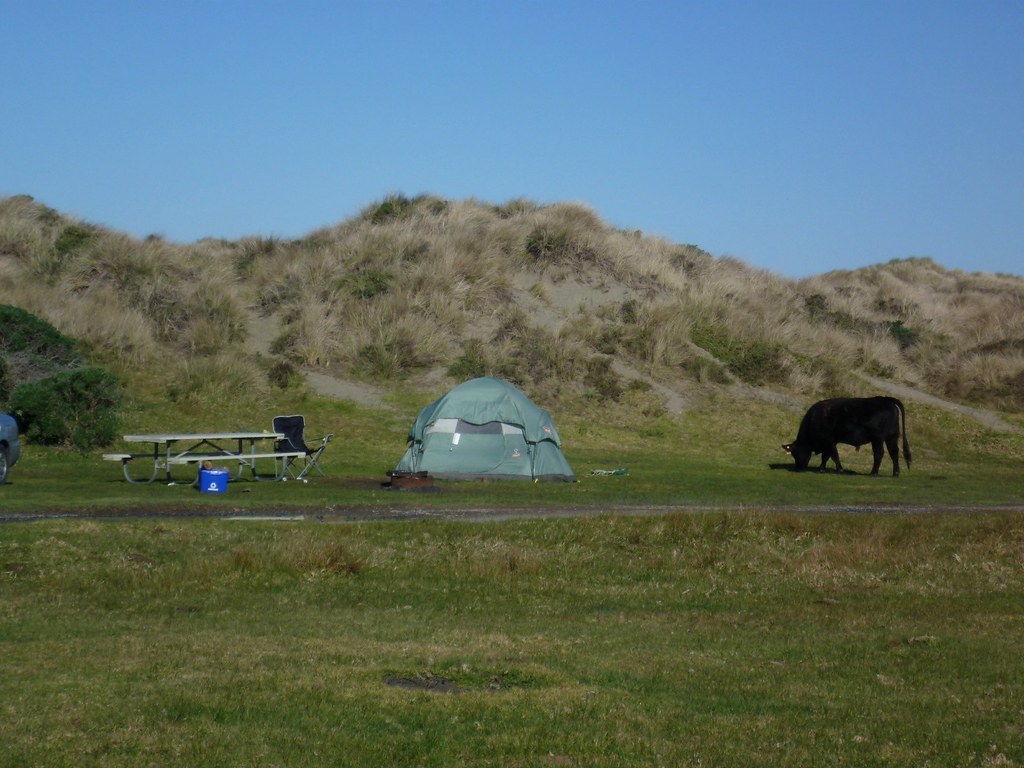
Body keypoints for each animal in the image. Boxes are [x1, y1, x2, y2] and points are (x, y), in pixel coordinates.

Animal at [783, 396, 911, 476]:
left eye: (795, 453)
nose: (798, 468)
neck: (813, 419)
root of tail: (886, 399)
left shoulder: (828, 441)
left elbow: (834, 455)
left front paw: (840, 469)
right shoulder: (830, 442)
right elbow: (826, 456)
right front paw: (821, 469)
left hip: (878, 438)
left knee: (879, 453)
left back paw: (873, 473)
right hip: (891, 437)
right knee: (894, 452)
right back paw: (895, 473)